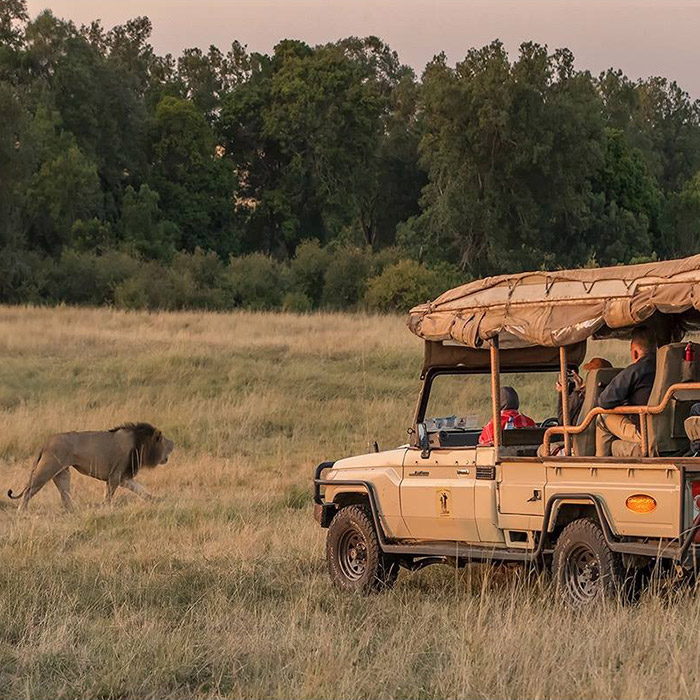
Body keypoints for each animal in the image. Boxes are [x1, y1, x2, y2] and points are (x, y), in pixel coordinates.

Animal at [7, 424, 175, 512]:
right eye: (166, 442)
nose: (173, 443)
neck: (141, 444)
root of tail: (46, 442)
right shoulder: (115, 475)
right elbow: (109, 495)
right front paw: (106, 508)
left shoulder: (122, 477)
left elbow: (139, 489)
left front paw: (155, 499)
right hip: (46, 470)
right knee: (29, 491)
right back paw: (22, 511)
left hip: (62, 473)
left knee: (65, 495)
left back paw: (74, 511)